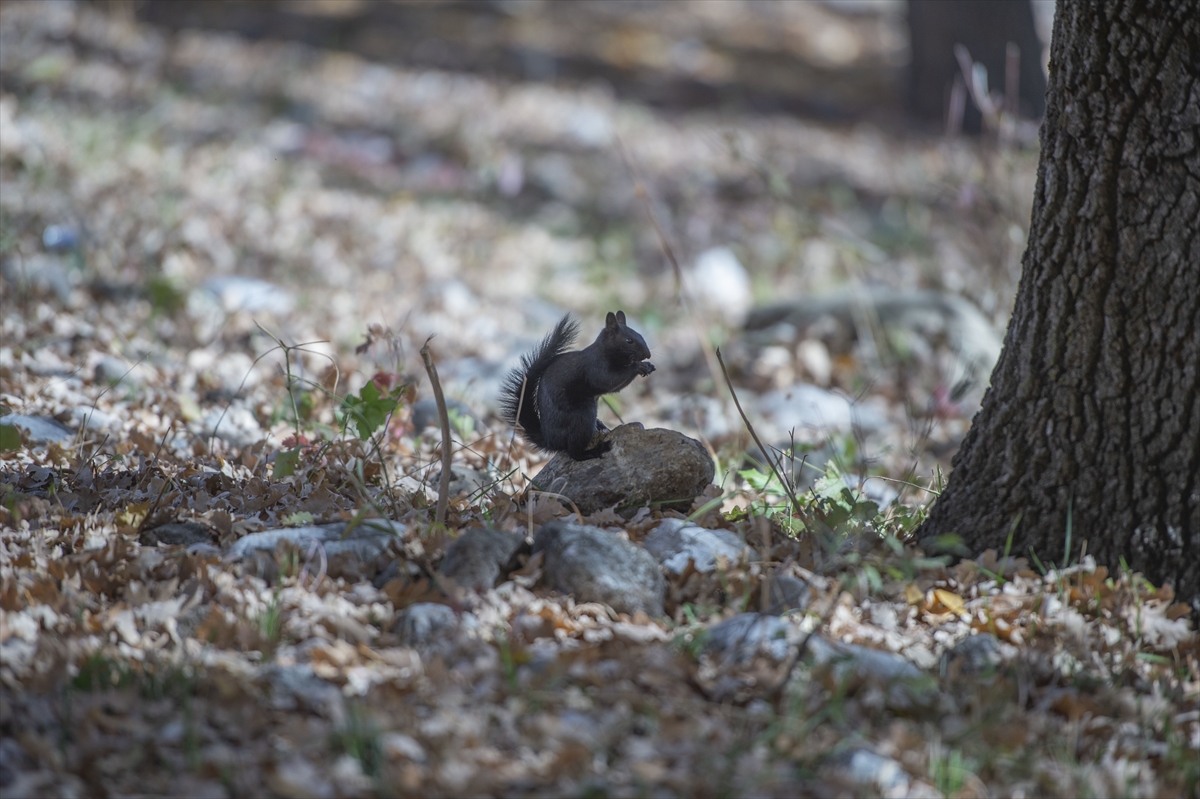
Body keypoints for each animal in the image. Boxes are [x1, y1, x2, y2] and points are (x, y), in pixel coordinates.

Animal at [504, 311, 662, 460]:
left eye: (640, 335)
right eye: (629, 340)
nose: (648, 355)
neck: (605, 352)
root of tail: (551, 441)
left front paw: (648, 366)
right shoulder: (596, 368)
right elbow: (609, 381)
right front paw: (638, 366)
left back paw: (600, 426)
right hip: (582, 416)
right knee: (575, 453)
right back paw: (595, 450)